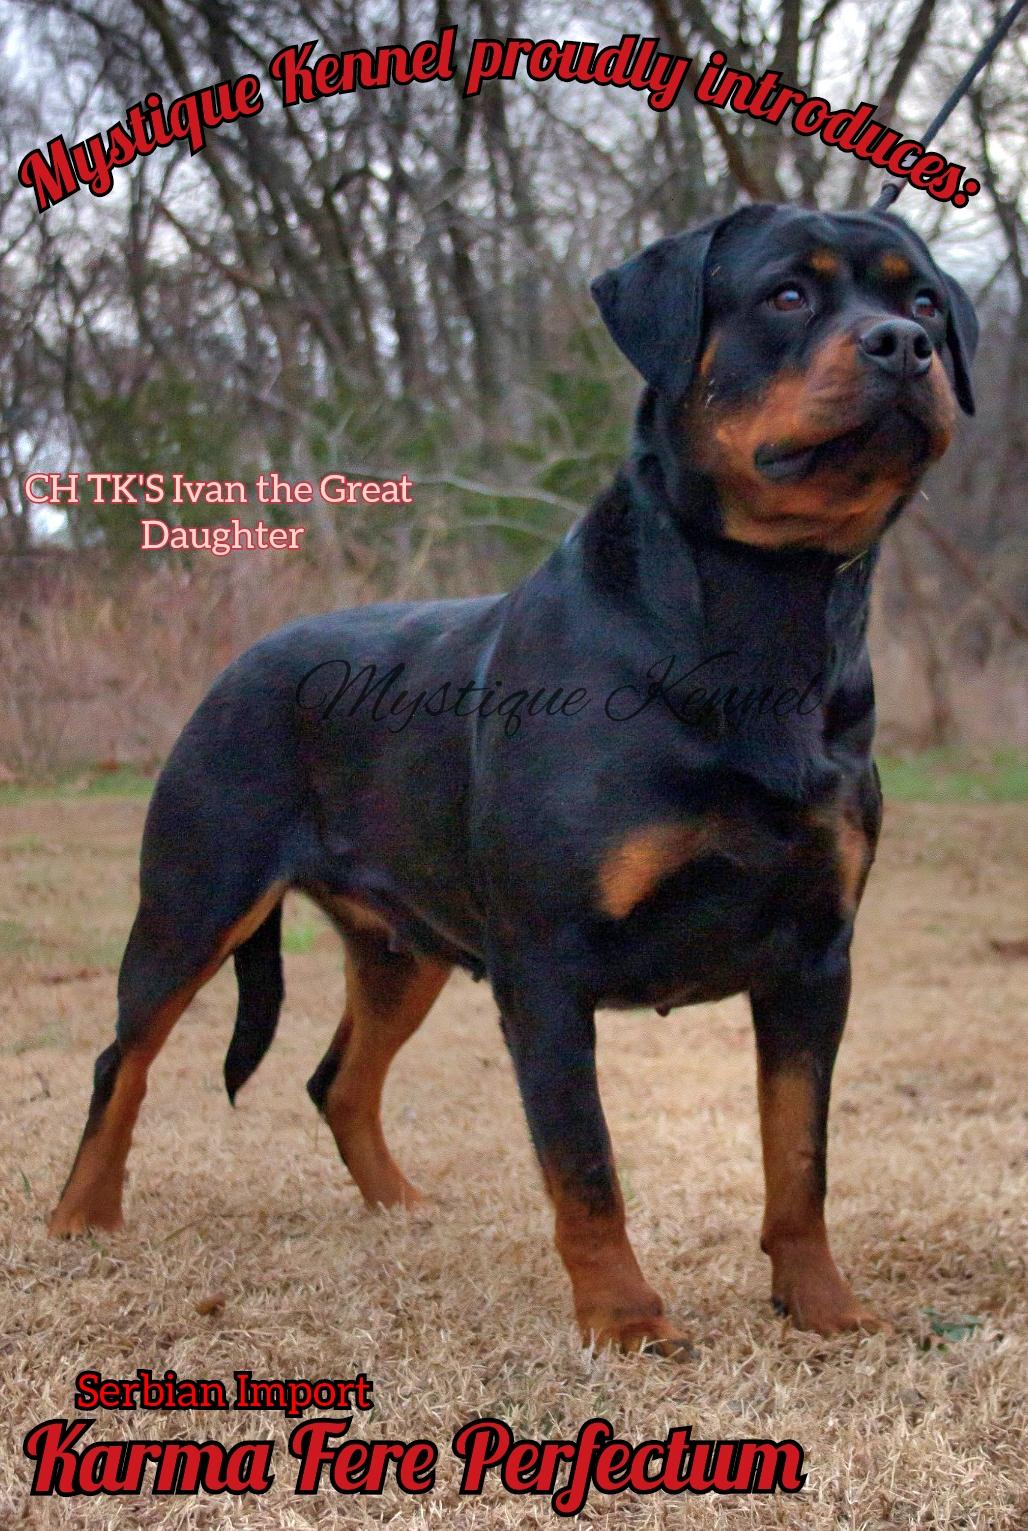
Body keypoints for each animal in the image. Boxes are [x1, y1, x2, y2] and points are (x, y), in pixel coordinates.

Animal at [50, 202, 976, 1355]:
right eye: (787, 295)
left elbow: (798, 1154)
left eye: (923, 298)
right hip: (194, 901)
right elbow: (584, 1164)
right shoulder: (546, 963)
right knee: (122, 1060)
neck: (763, 614)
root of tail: (241, 661)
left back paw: (400, 1207)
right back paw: (81, 1217)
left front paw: (822, 1305)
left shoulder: (814, 959)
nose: (904, 345)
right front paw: (625, 1319)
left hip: (404, 949)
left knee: (337, 1079)